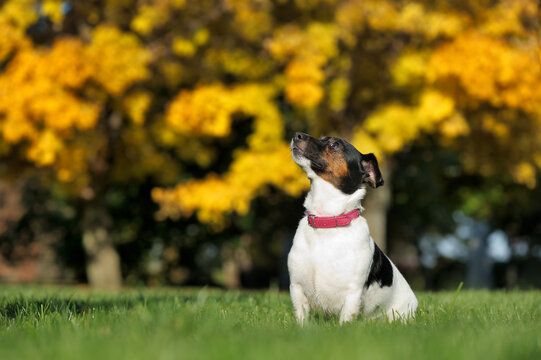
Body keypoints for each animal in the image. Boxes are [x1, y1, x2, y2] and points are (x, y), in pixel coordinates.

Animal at [286, 132, 418, 324]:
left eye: (335, 145)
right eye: (322, 137)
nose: (298, 135)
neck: (327, 221)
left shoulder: (352, 294)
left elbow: (346, 320)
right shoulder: (297, 288)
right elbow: (302, 318)